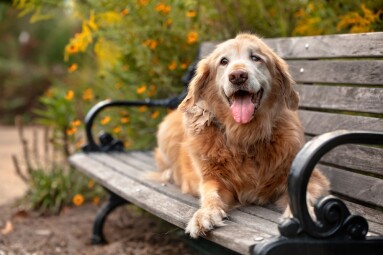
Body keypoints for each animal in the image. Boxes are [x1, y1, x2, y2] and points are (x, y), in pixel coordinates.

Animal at [153, 32, 330, 238]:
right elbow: (210, 194)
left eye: (255, 58)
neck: (245, 136)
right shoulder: (214, 179)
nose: (237, 76)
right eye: (223, 61)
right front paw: (204, 214)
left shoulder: (312, 177)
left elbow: (303, 194)